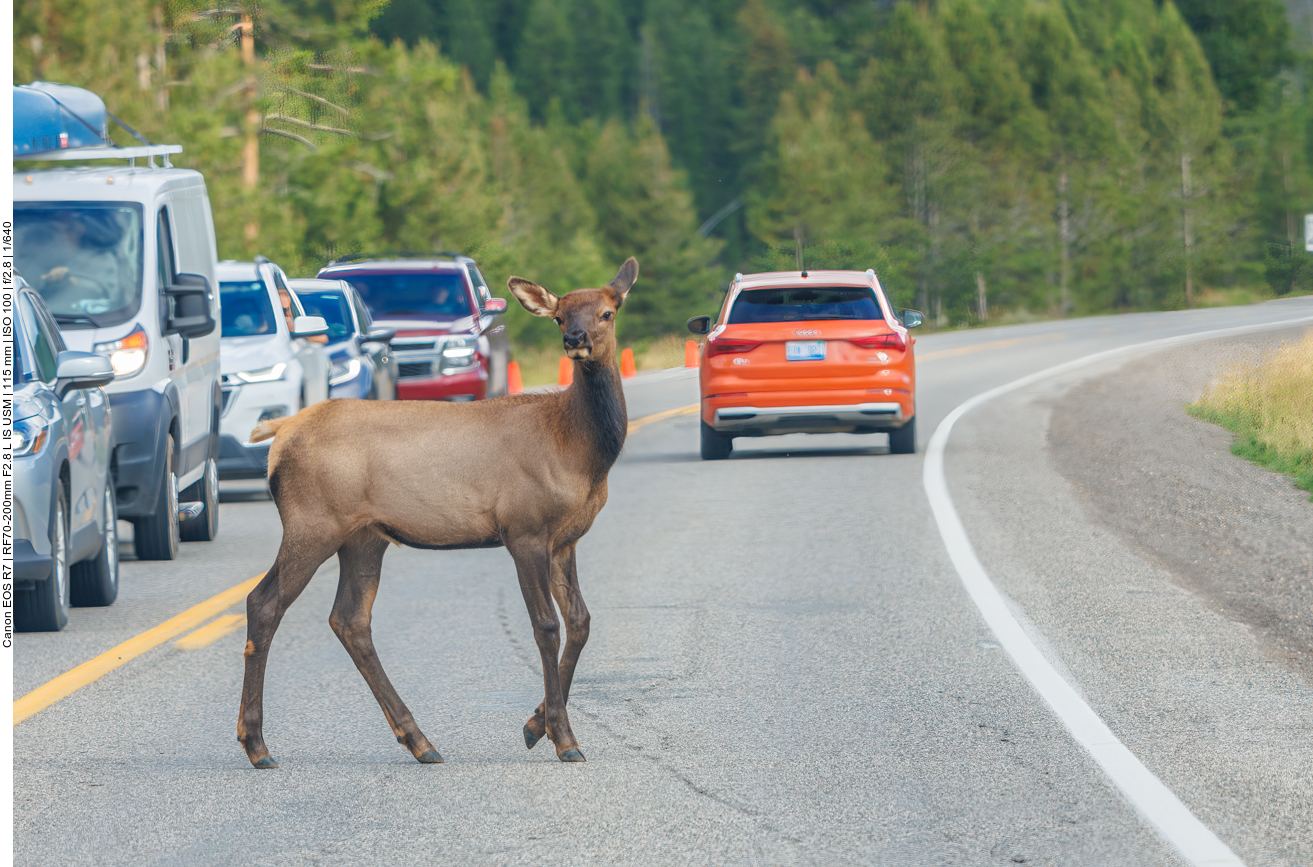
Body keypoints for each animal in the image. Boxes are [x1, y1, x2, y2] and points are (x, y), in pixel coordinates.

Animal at [244, 256, 643, 767]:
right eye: (559, 316)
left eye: (607, 312)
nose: (576, 339)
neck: (580, 451)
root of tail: (281, 432)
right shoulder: (524, 529)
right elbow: (546, 626)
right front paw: (563, 737)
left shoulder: (566, 538)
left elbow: (581, 622)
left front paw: (536, 726)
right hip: (312, 522)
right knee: (264, 603)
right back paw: (256, 744)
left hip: (363, 536)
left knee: (349, 620)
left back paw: (418, 740)